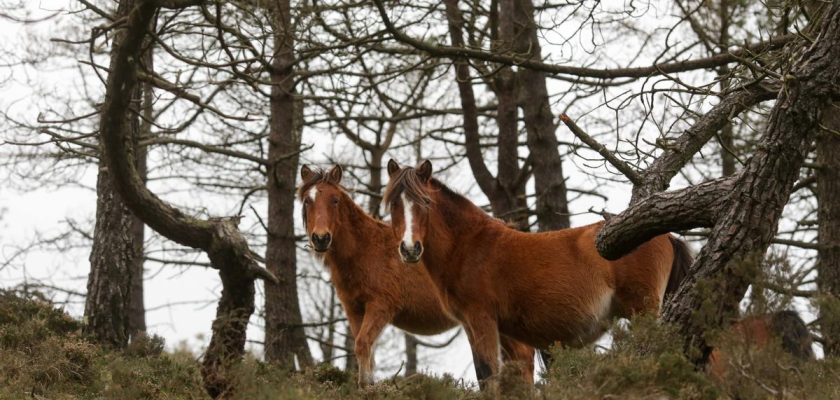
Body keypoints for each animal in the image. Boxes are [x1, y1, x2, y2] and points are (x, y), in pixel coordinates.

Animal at [298, 164, 536, 386]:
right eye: (307, 201)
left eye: (335, 200)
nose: (321, 238)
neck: (366, 248)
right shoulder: (354, 311)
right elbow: (366, 353)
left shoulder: (380, 307)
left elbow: (363, 345)